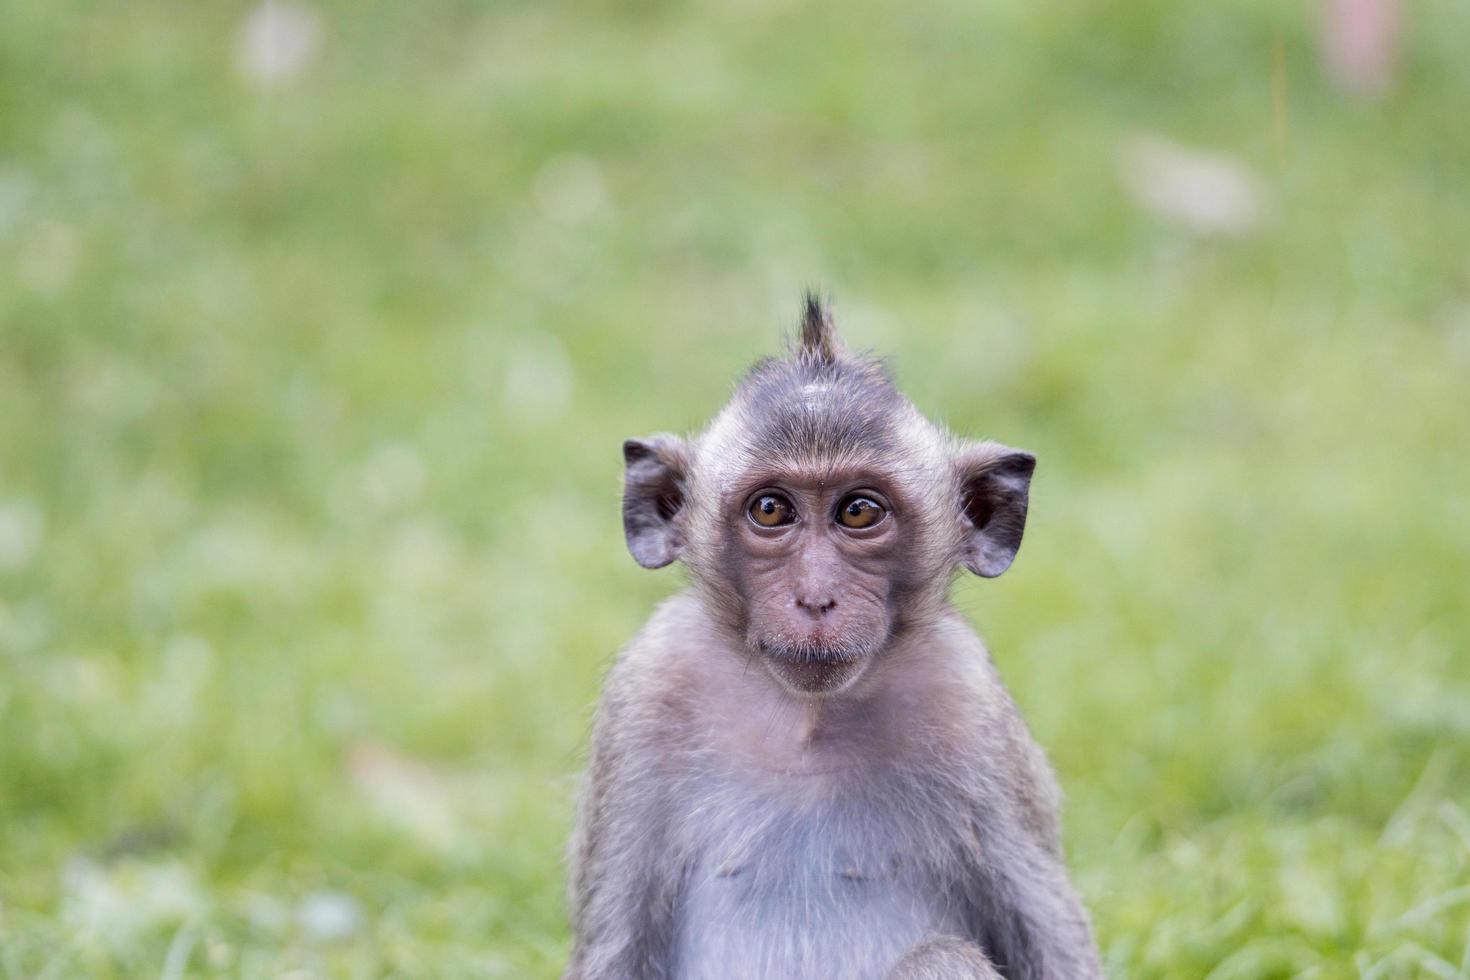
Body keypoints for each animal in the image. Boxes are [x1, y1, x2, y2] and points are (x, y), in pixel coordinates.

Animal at [567, 299, 1099, 980]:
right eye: (770, 510)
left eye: (858, 512)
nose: (816, 598)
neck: (808, 718)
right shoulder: (650, 687)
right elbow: (617, 945)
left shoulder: (966, 697)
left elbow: (1050, 940)